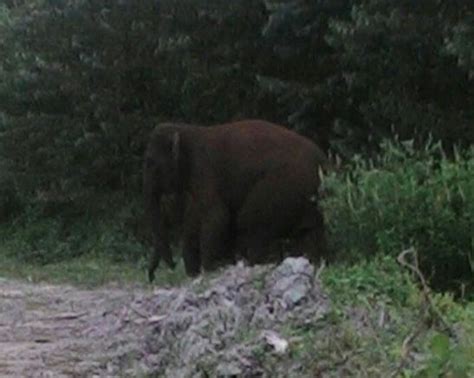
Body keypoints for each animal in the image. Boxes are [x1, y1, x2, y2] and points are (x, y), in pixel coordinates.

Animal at [143, 119, 330, 282]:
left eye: (151, 162)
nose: (152, 277)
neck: (187, 130)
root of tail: (323, 162)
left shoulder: (204, 170)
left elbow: (217, 216)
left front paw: (209, 270)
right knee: (309, 233)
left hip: (282, 186)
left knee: (251, 222)